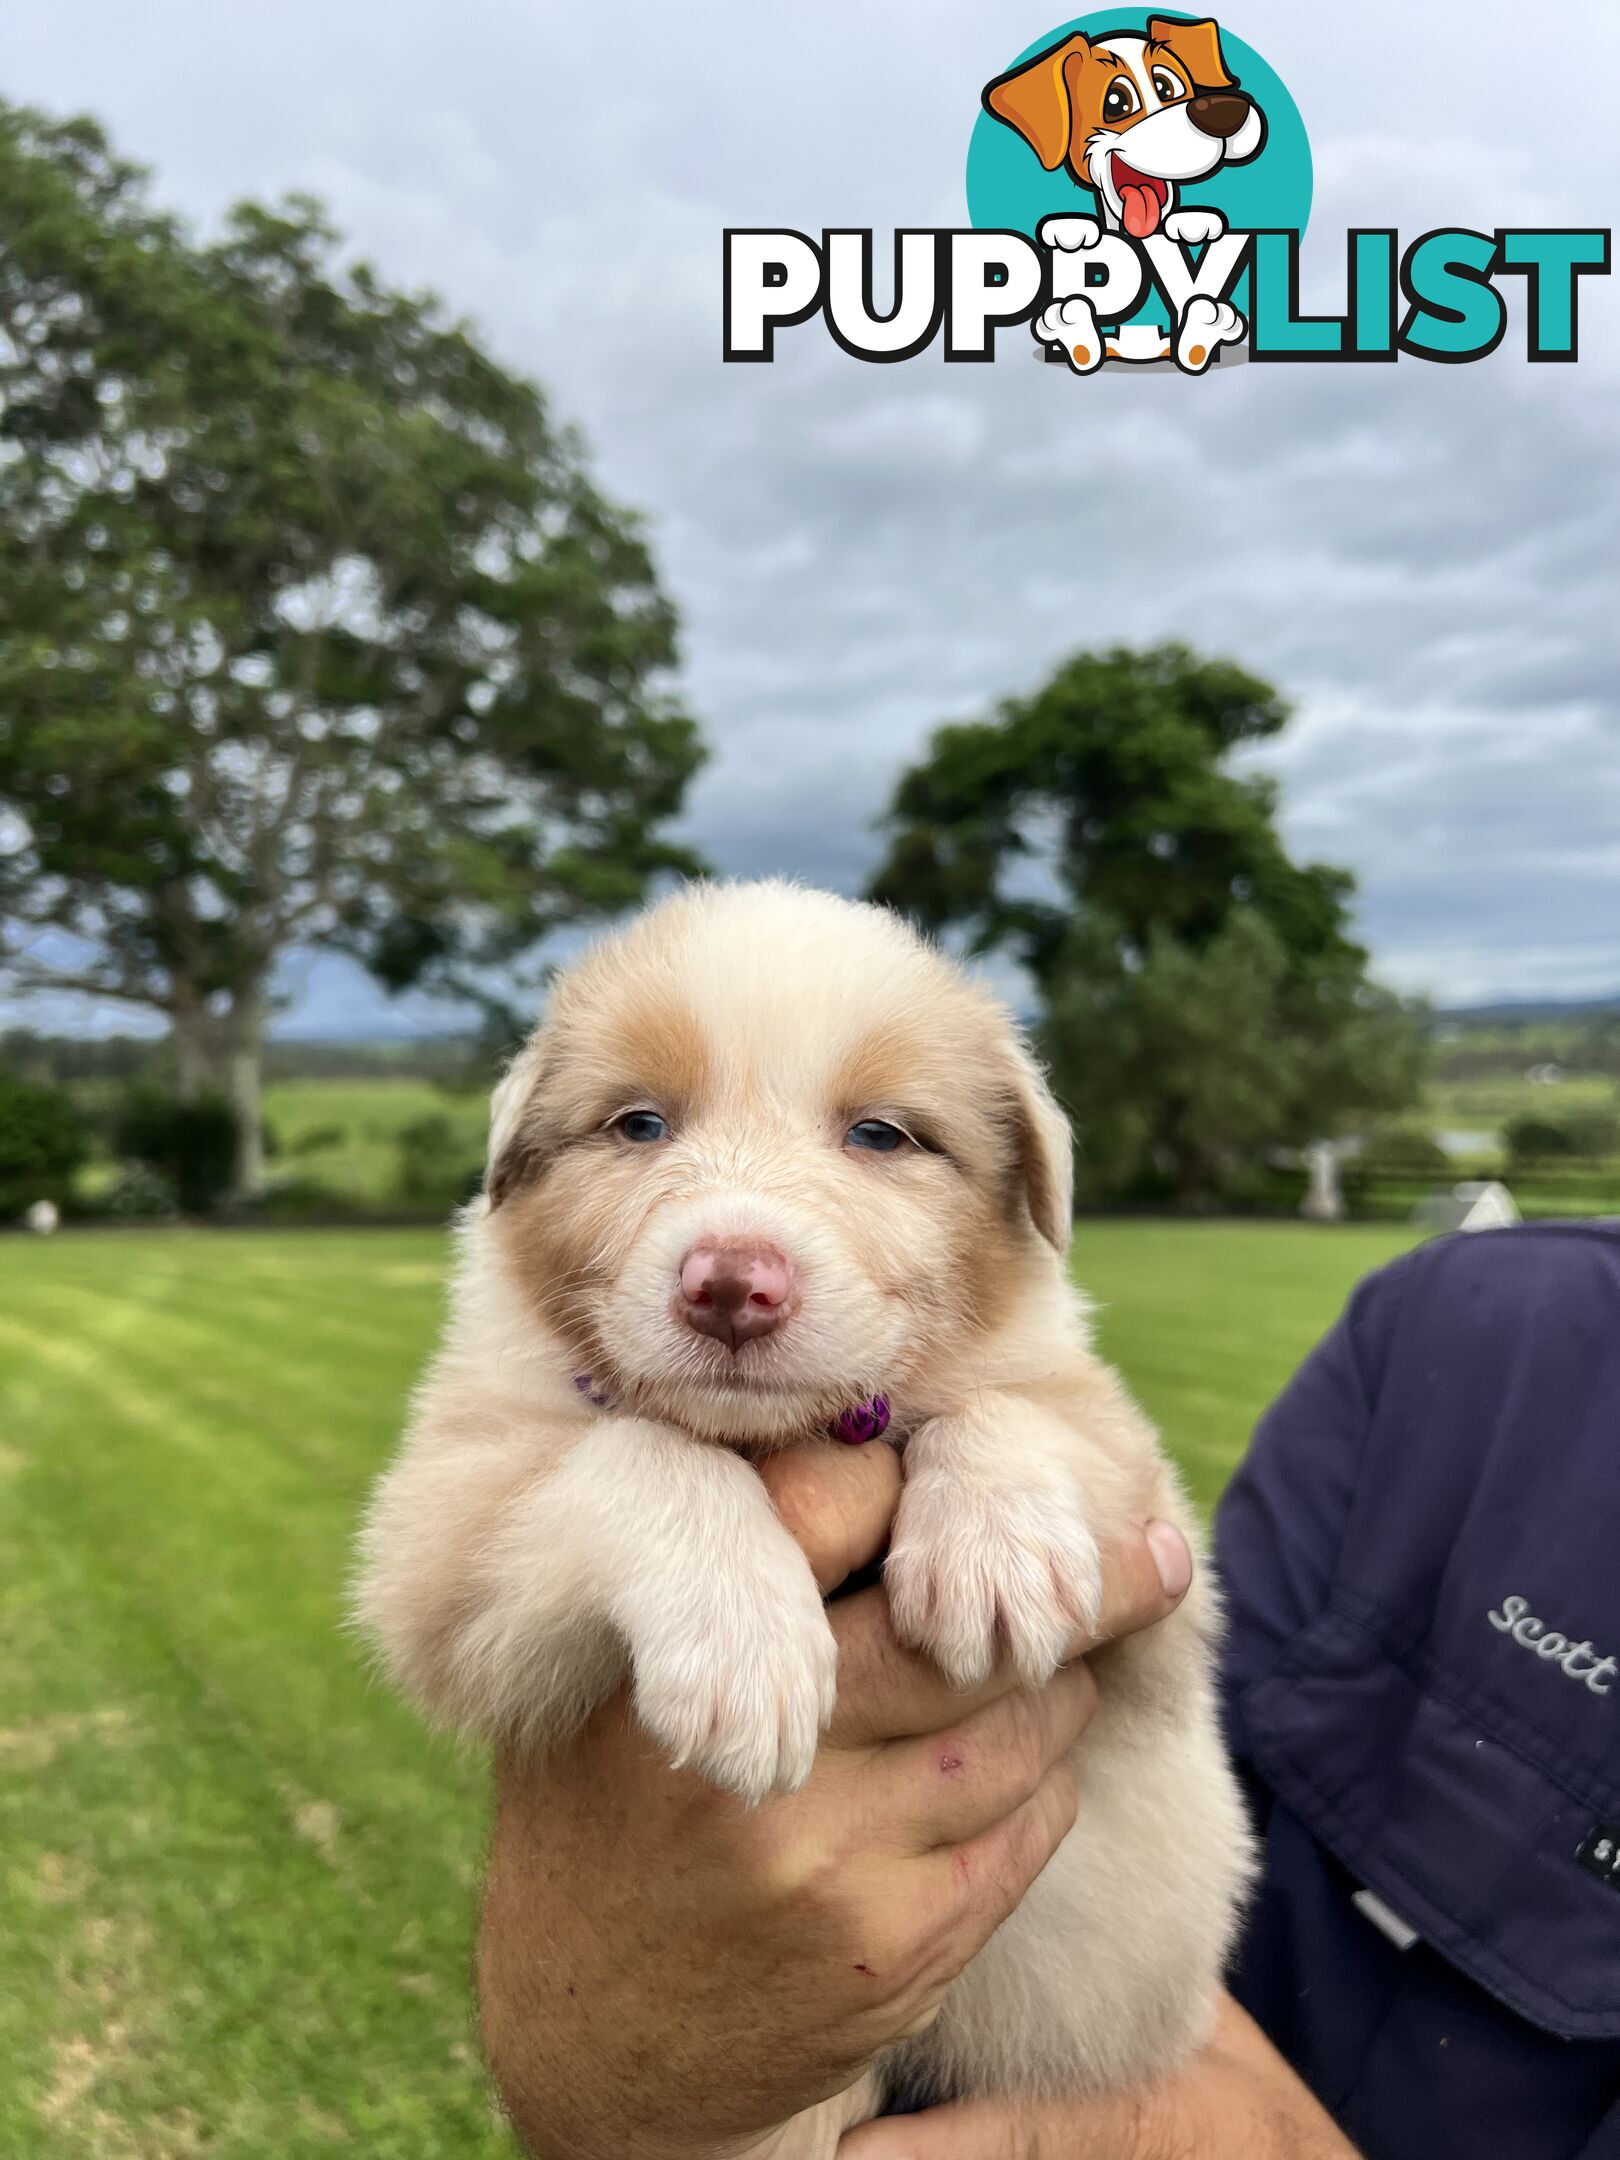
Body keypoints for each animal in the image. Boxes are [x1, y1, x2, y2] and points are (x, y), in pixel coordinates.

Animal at [360, 885, 1261, 2116]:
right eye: (638, 1125)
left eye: (881, 1136)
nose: (732, 1284)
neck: (780, 1436)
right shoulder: (440, 1527)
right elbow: (638, 1451)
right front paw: (746, 1651)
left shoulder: (1161, 1567)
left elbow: (1016, 1411)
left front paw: (998, 1557)